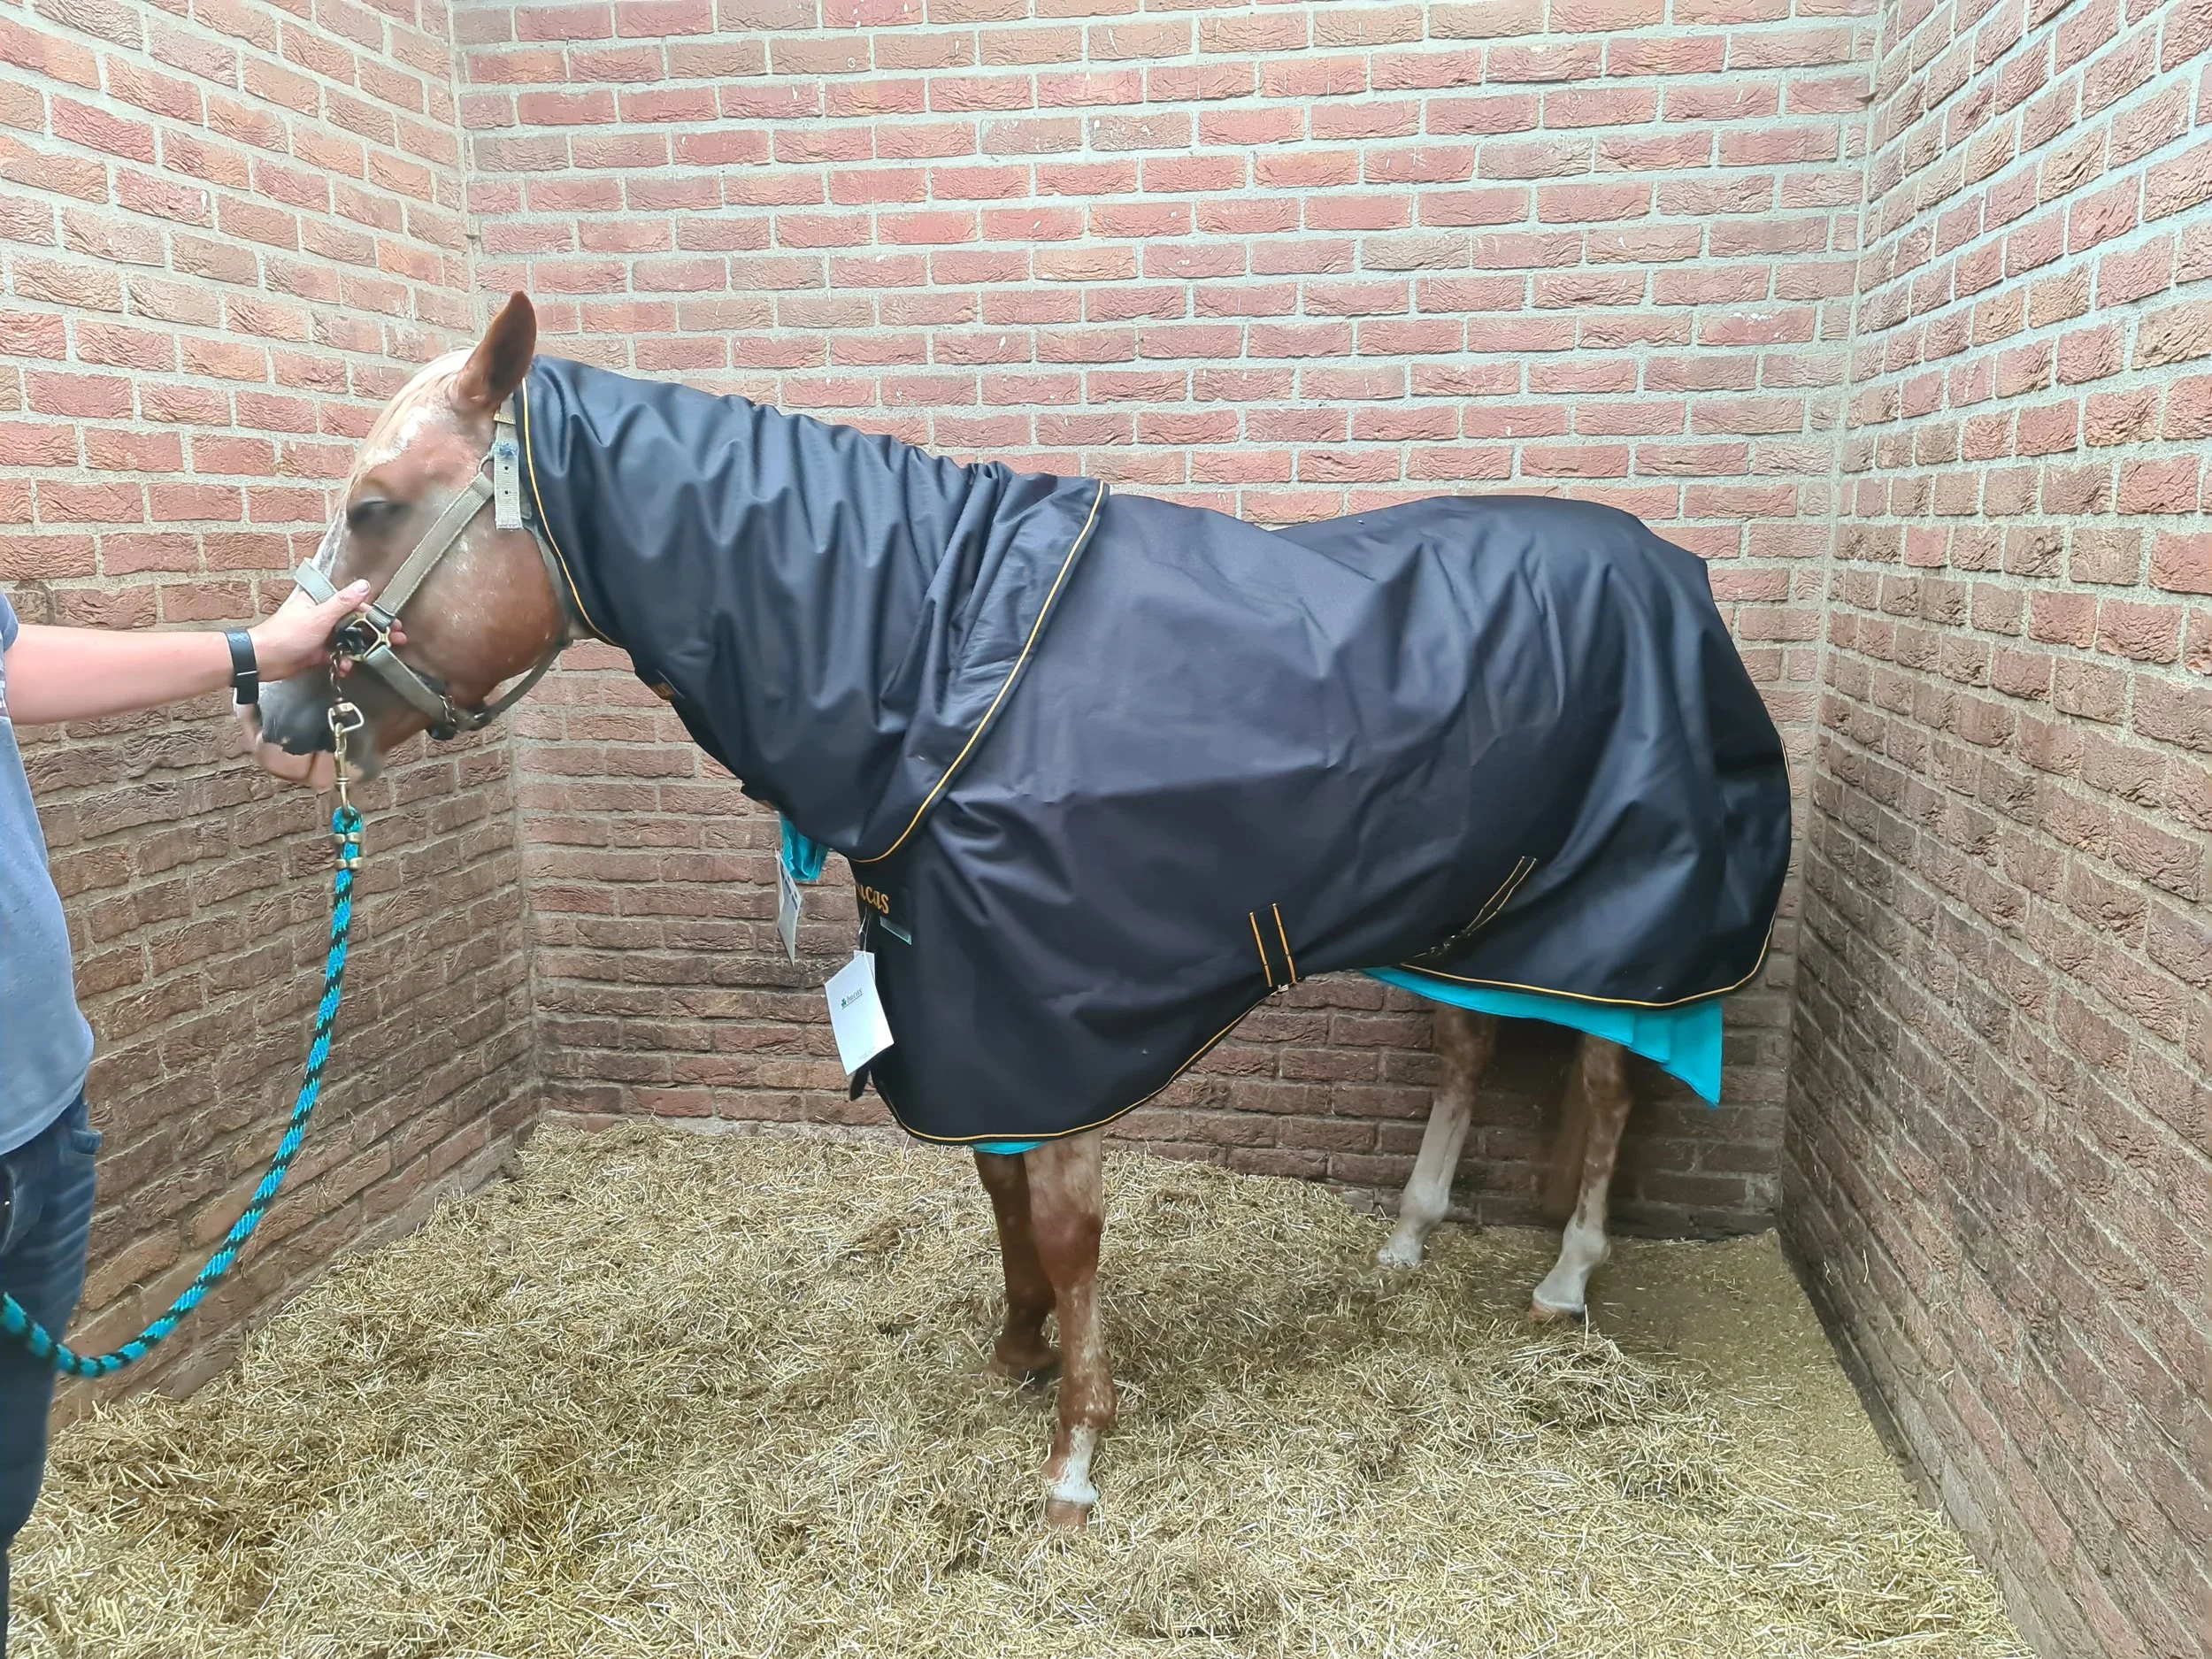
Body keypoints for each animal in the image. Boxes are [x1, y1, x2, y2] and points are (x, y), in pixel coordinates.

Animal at [253, 293, 1788, 1525]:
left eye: (376, 502)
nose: (276, 708)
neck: (939, 659)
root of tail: (1677, 575)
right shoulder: (969, 1010)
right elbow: (997, 1195)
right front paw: (1018, 1351)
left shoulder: (1061, 1021)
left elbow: (1062, 1223)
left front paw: (1075, 1451)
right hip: (1471, 928)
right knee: (1473, 1052)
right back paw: (1408, 1237)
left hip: (1615, 931)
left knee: (1608, 1083)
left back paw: (1567, 1281)